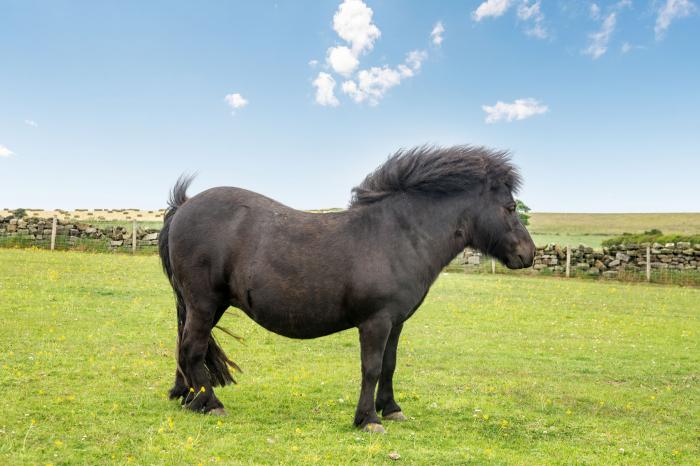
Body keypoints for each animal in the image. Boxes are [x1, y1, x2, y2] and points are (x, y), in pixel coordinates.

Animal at [159, 146, 536, 434]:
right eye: (510, 208)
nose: (528, 254)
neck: (398, 235)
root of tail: (183, 206)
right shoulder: (376, 322)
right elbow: (371, 367)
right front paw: (368, 419)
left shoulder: (395, 323)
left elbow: (389, 365)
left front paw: (391, 409)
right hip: (204, 304)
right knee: (191, 348)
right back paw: (210, 402)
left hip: (202, 306)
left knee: (184, 348)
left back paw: (189, 398)